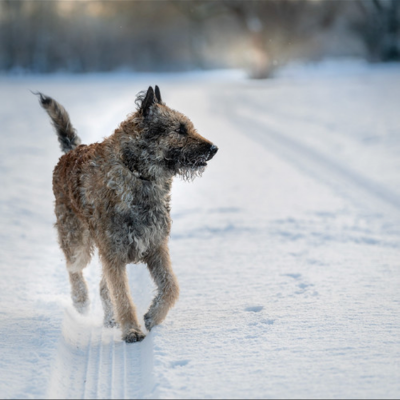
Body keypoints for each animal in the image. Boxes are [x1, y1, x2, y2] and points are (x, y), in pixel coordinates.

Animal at [36, 86, 219, 342]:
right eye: (180, 130)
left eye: (188, 127)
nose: (214, 148)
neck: (139, 176)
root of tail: (71, 151)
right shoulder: (114, 254)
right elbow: (122, 296)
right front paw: (132, 330)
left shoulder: (156, 246)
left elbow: (171, 286)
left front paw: (153, 316)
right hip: (76, 240)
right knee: (74, 268)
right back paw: (81, 301)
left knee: (103, 287)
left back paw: (110, 319)